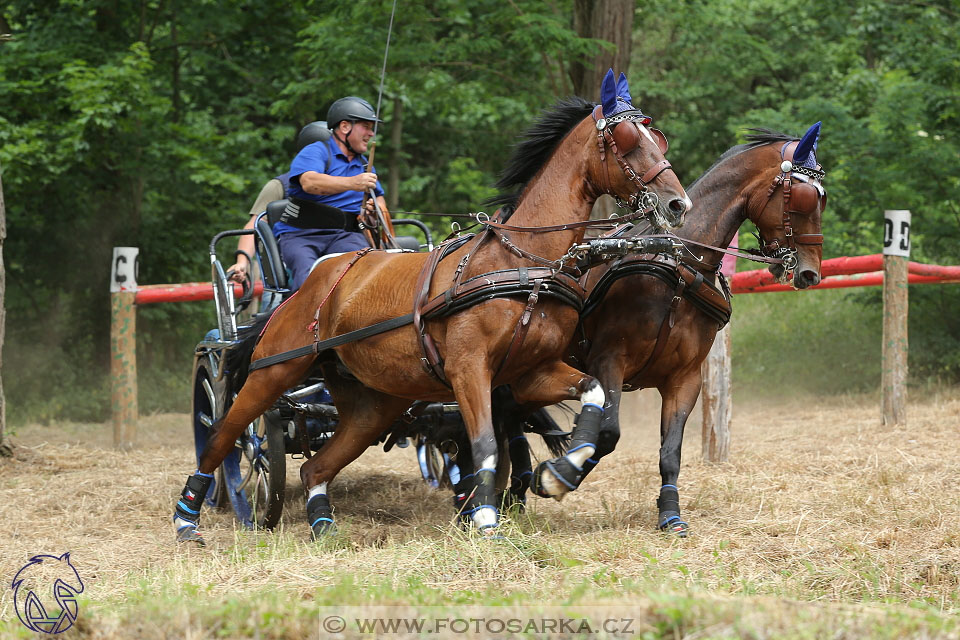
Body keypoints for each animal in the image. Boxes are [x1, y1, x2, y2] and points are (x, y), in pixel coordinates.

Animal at [174, 70, 688, 544]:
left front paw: (561, 473)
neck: (523, 262)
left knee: (315, 467)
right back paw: (189, 517)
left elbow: (594, 394)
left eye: (657, 137)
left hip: (371, 406)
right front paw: (485, 519)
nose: (677, 203)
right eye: (628, 141)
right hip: (273, 373)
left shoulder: (531, 373)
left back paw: (322, 524)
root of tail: (309, 287)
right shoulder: (469, 369)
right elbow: (485, 446)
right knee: (225, 437)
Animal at [492, 120, 828, 536]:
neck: (679, 269)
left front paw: (670, 513)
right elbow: (608, 433)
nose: (811, 272)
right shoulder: (609, 360)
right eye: (804, 198)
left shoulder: (685, 378)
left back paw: (513, 492)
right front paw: (559, 476)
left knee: (509, 413)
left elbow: (671, 450)